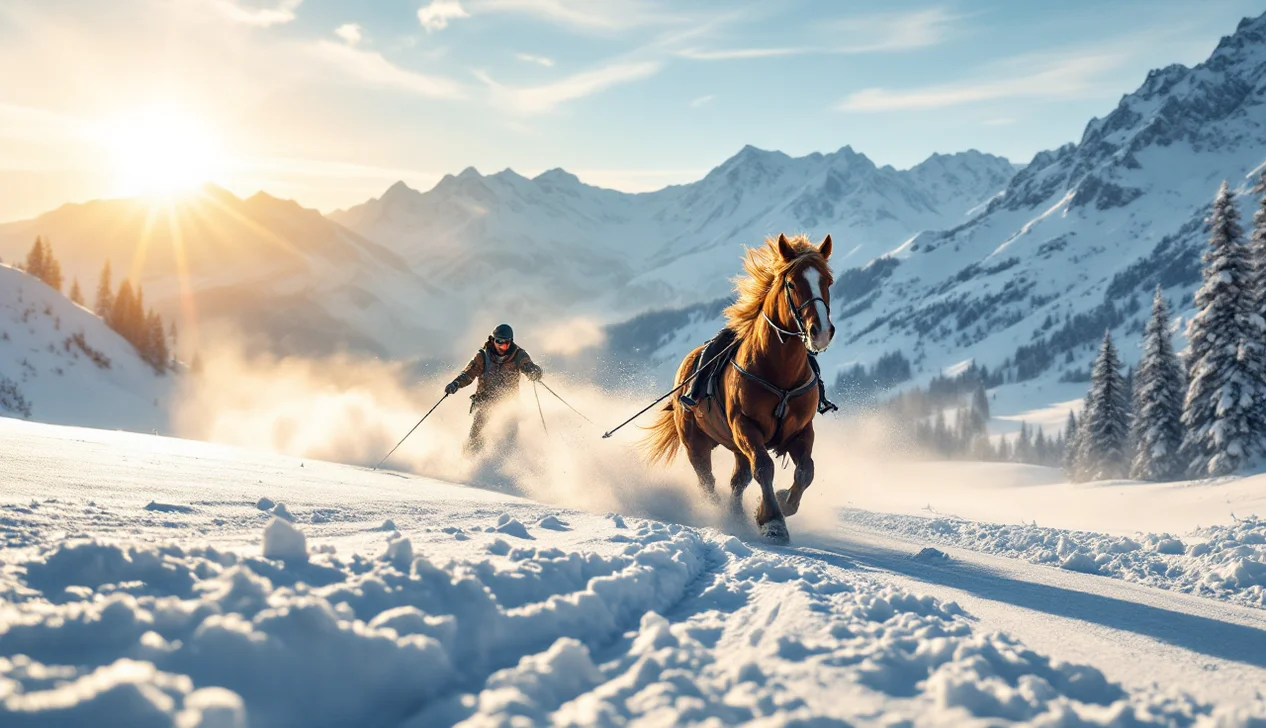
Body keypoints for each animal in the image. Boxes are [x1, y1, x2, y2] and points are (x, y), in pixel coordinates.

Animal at [642, 233, 834, 543]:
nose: (821, 331)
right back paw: (719, 512)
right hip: (696, 443)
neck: (777, 371)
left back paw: (736, 514)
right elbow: (764, 468)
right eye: (792, 283)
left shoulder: (801, 431)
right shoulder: (746, 426)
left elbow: (806, 472)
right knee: (707, 480)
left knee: (739, 480)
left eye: (827, 281)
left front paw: (782, 502)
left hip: (735, 446)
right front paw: (773, 521)